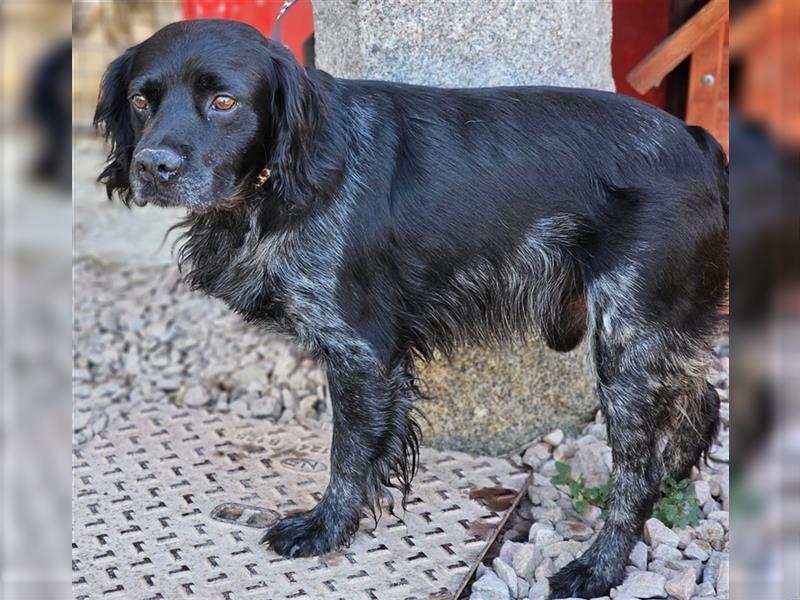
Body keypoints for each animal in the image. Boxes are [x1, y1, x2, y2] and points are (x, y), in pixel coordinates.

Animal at [97, 21, 728, 596]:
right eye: (140, 100)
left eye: (224, 102)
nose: (152, 166)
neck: (286, 177)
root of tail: (699, 141)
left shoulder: (360, 352)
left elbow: (348, 456)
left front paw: (325, 529)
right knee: (699, 407)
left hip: (629, 342)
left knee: (637, 471)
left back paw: (598, 569)